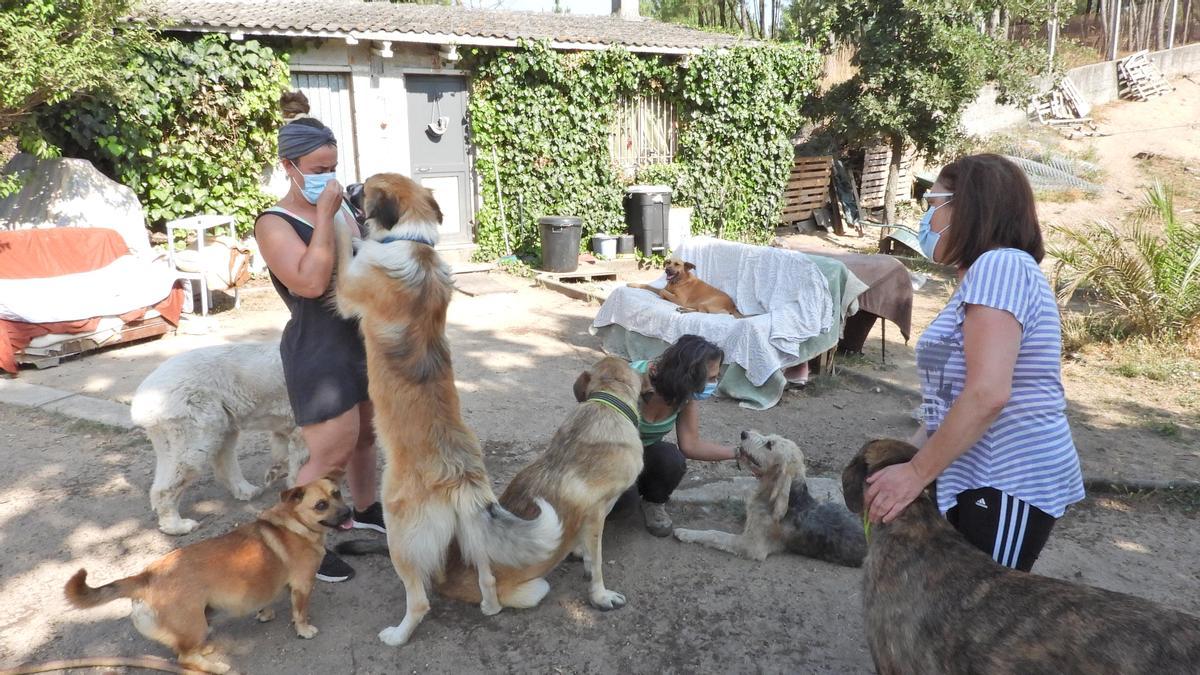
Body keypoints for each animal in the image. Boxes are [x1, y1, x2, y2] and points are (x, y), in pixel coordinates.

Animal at [63, 470, 350, 667]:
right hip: (194, 625)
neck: (294, 523)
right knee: (184, 658)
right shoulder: (303, 586)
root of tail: (145, 576)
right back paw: (217, 666)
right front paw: (304, 630)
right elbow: (300, 613)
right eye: (321, 505)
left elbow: (267, 600)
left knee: (184, 649)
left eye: (337, 493)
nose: (348, 513)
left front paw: (265, 614)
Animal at [130, 338, 307, 533]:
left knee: (223, 458)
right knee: (171, 481)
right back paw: (178, 526)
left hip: (218, 423)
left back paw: (246, 490)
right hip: (192, 431)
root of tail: (143, 395)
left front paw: (276, 472)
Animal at [331, 170, 559, 643]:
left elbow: (345, 248)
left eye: (365, 187)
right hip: (470, 533)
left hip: (400, 533)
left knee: (419, 600)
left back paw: (397, 635)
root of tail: (458, 475)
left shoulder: (346, 289)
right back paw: (490, 606)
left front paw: (338, 220)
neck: (414, 240)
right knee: (486, 574)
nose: (346, 183)